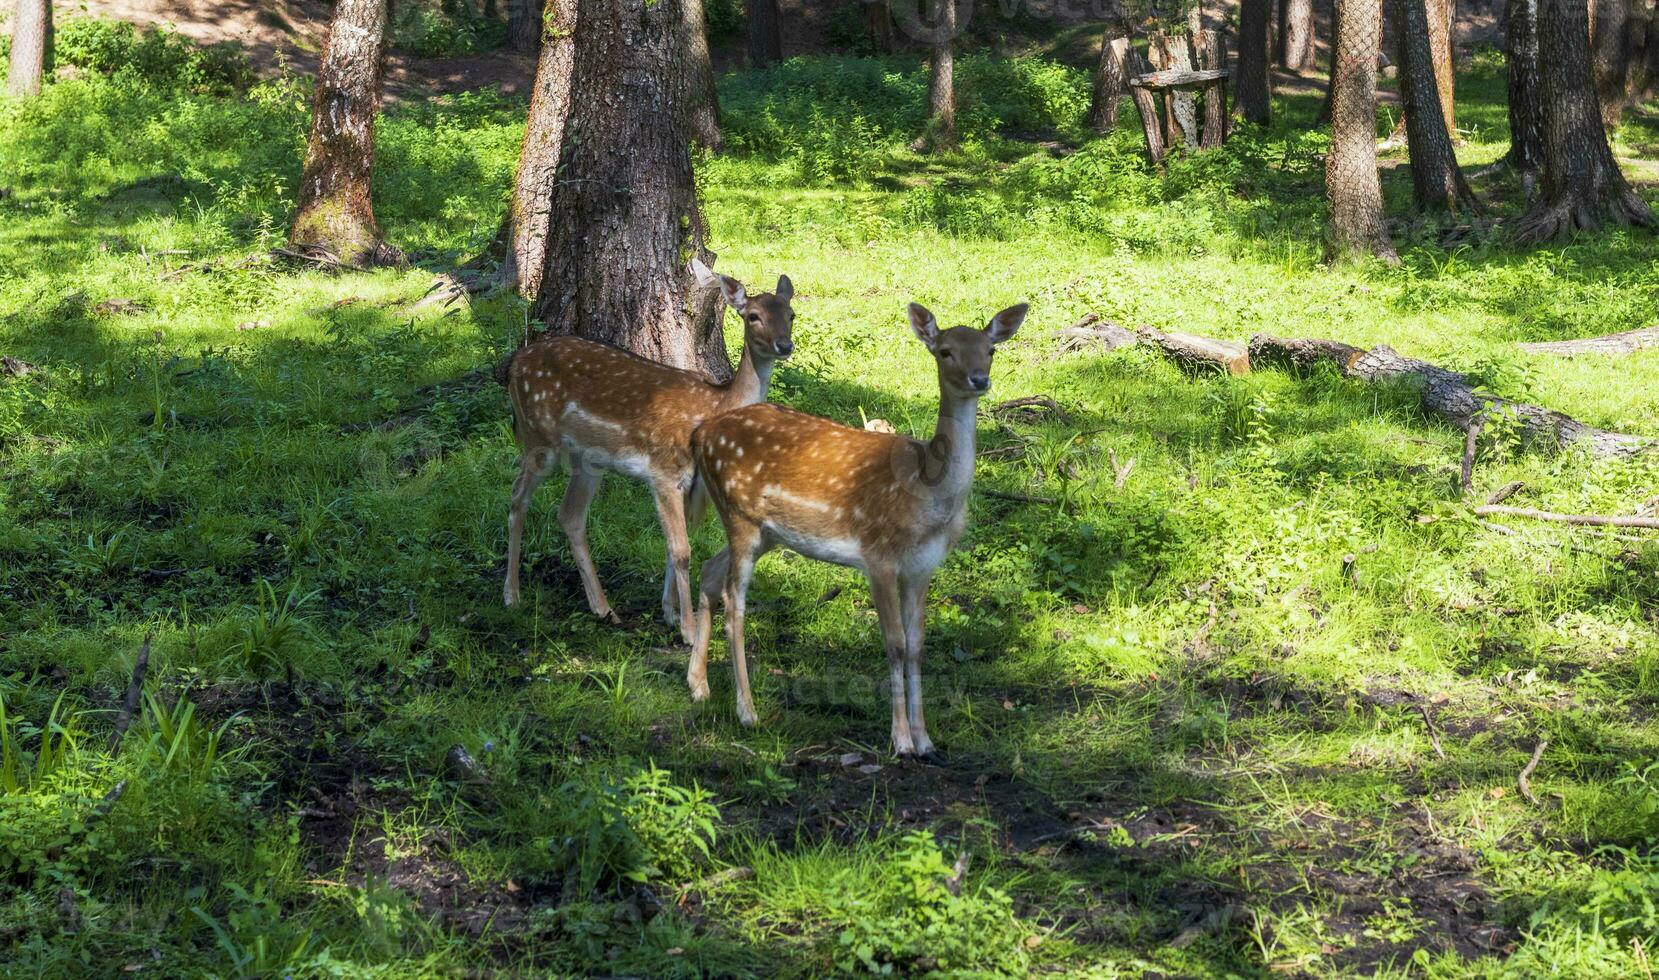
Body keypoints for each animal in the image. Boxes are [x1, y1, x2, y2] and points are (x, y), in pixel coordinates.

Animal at [497, 261, 796, 643]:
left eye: (791, 314)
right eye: (753, 316)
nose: (784, 344)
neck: (713, 407)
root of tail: (514, 363)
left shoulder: (689, 483)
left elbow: (676, 545)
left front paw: (669, 612)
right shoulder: (665, 471)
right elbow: (681, 550)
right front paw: (688, 629)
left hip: (589, 459)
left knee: (570, 515)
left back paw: (603, 608)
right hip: (538, 436)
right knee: (517, 497)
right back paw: (512, 595)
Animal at [683, 298, 1021, 759]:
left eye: (991, 350)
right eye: (945, 351)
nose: (979, 379)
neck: (926, 495)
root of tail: (702, 433)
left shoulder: (923, 567)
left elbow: (917, 646)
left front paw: (926, 739)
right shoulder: (878, 556)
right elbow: (894, 644)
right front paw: (901, 741)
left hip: (766, 532)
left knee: (710, 570)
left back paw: (698, 686)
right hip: (740, 515)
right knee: (735, 599)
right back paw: (747, 712)